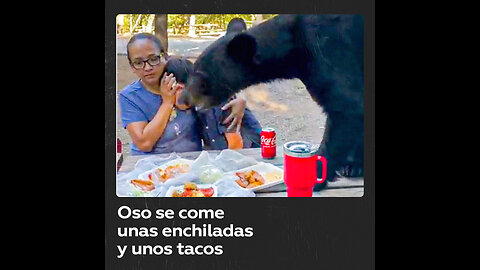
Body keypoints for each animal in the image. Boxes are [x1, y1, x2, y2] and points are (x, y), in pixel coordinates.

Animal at [180, 14, 364, 184]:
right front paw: (352, 165)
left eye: (200, 75)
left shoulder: (330, 52)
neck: (294, 49)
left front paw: (317, 174)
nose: (183, 99)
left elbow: (347, 106)